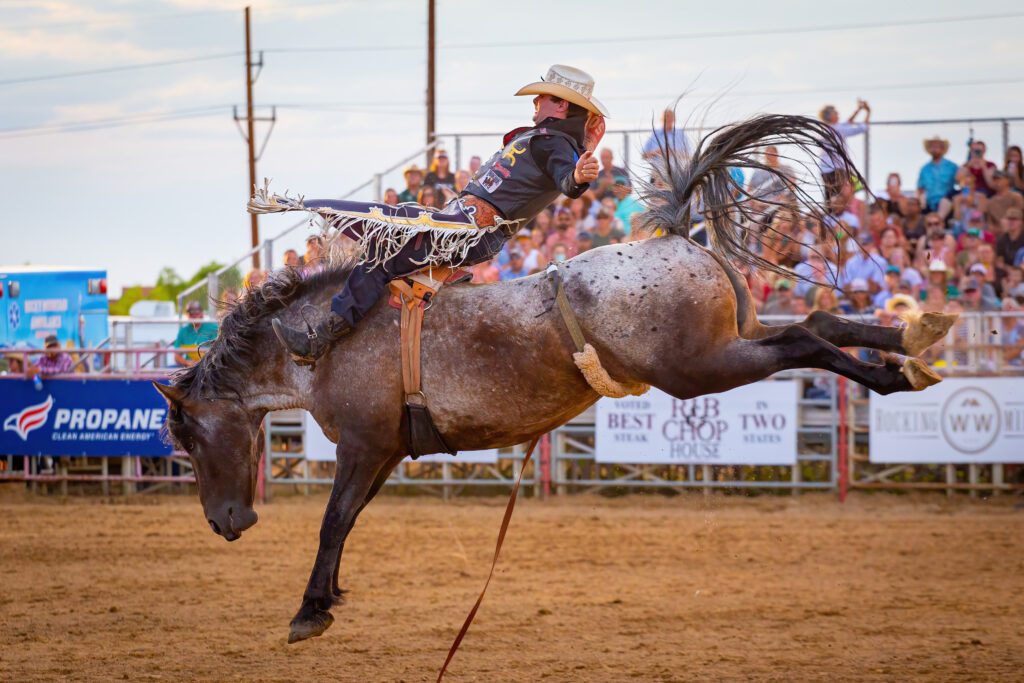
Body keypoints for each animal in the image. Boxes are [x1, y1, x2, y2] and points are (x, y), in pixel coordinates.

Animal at [155, 113, 954, 647]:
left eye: (188, 438)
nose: (227, 523)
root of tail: (675, 235)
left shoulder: (361, 443)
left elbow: (331, 520)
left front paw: (307, 612)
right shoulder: (383, 451)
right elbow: (347, 521)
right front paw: (327, 600)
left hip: (702, 366)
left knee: (805, 339)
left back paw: (895, 373)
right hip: (732, 338)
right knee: (820, 319)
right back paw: (912, 346)